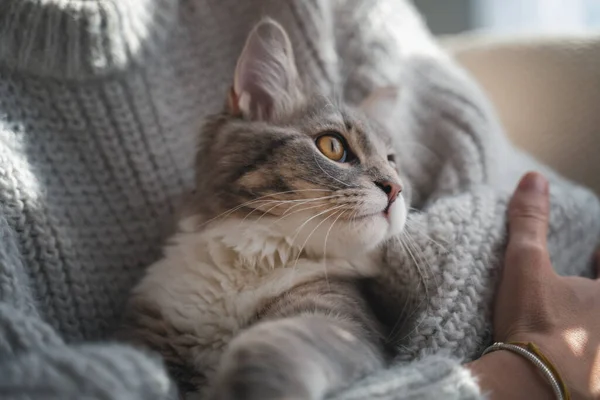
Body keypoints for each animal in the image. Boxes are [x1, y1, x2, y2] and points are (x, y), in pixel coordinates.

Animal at [120, 17, 412, 398]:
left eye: (392, 161)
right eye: (333, 146)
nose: (395, 188)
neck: (246, 261)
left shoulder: (338, 318)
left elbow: (265, 349)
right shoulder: (152, 326)